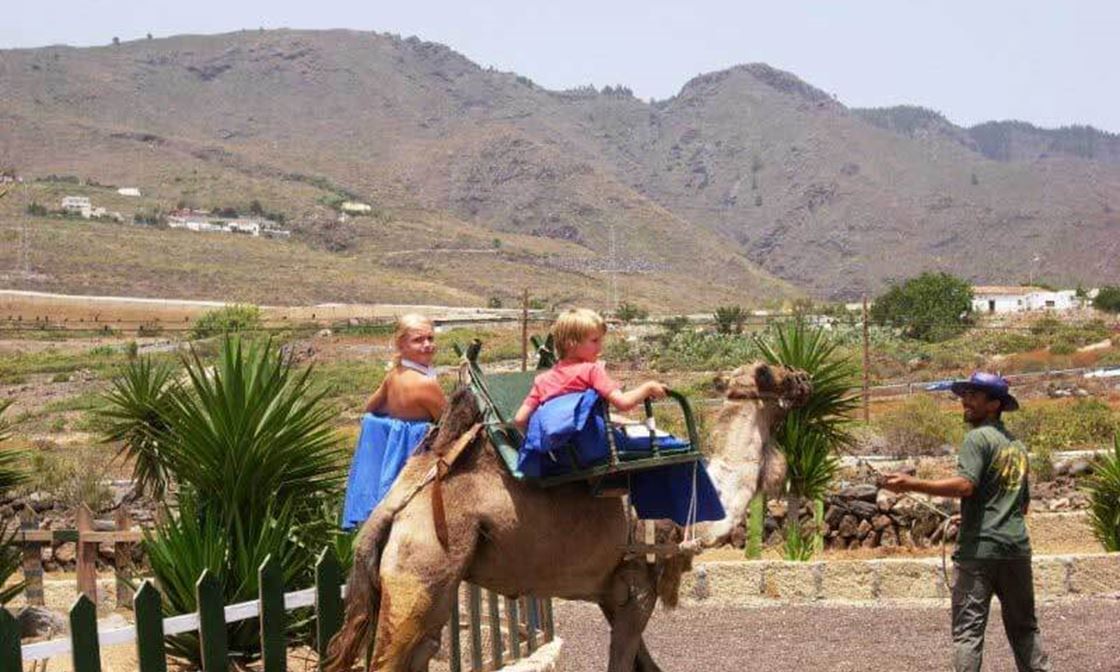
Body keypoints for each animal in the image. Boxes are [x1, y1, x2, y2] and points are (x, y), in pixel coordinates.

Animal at [325, 361, 811, 672]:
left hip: (431, 578)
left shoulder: (610, 593)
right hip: (421, 565)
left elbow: (647, 665)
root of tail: (394, 505)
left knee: (423, 649)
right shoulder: (637, 586)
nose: (804, 379)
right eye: (765, 371)